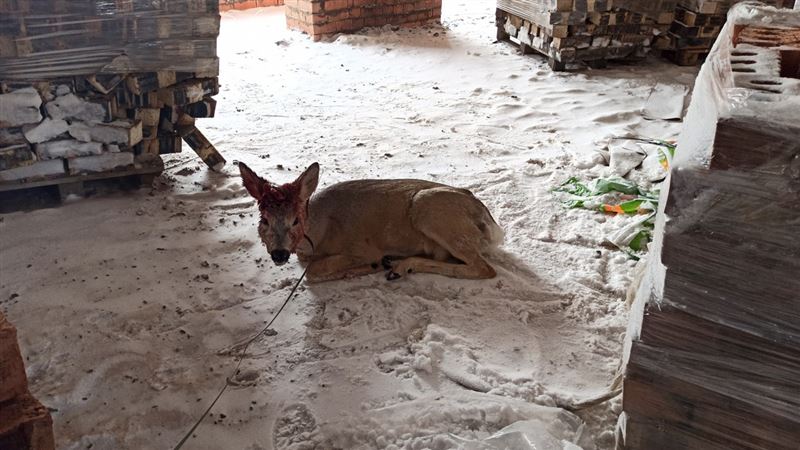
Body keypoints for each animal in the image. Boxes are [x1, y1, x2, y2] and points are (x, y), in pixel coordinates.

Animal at [238, 162, 504, 282]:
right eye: (264, 220)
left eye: (295, 220)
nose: (279, 253)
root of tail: (491, 226)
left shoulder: (361, 248)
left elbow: (314, 272)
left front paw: (368, 267)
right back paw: (398, 265)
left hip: (430, 210)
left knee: (484, 268)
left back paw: (396, 266)